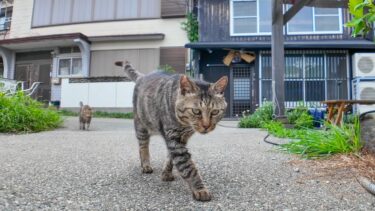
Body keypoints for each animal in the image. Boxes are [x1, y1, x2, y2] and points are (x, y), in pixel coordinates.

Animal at [114, 60, 228, 201]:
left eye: (215, 112)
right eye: (196, 111)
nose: (206, 126)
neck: (185, 125)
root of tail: (143, 76)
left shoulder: (180, 139)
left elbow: (170, 158)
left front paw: (166, 173)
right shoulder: (174, 140)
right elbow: (188, 167)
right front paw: (200, 189)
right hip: (141, 125)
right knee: (143, 147)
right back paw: (145, 165)